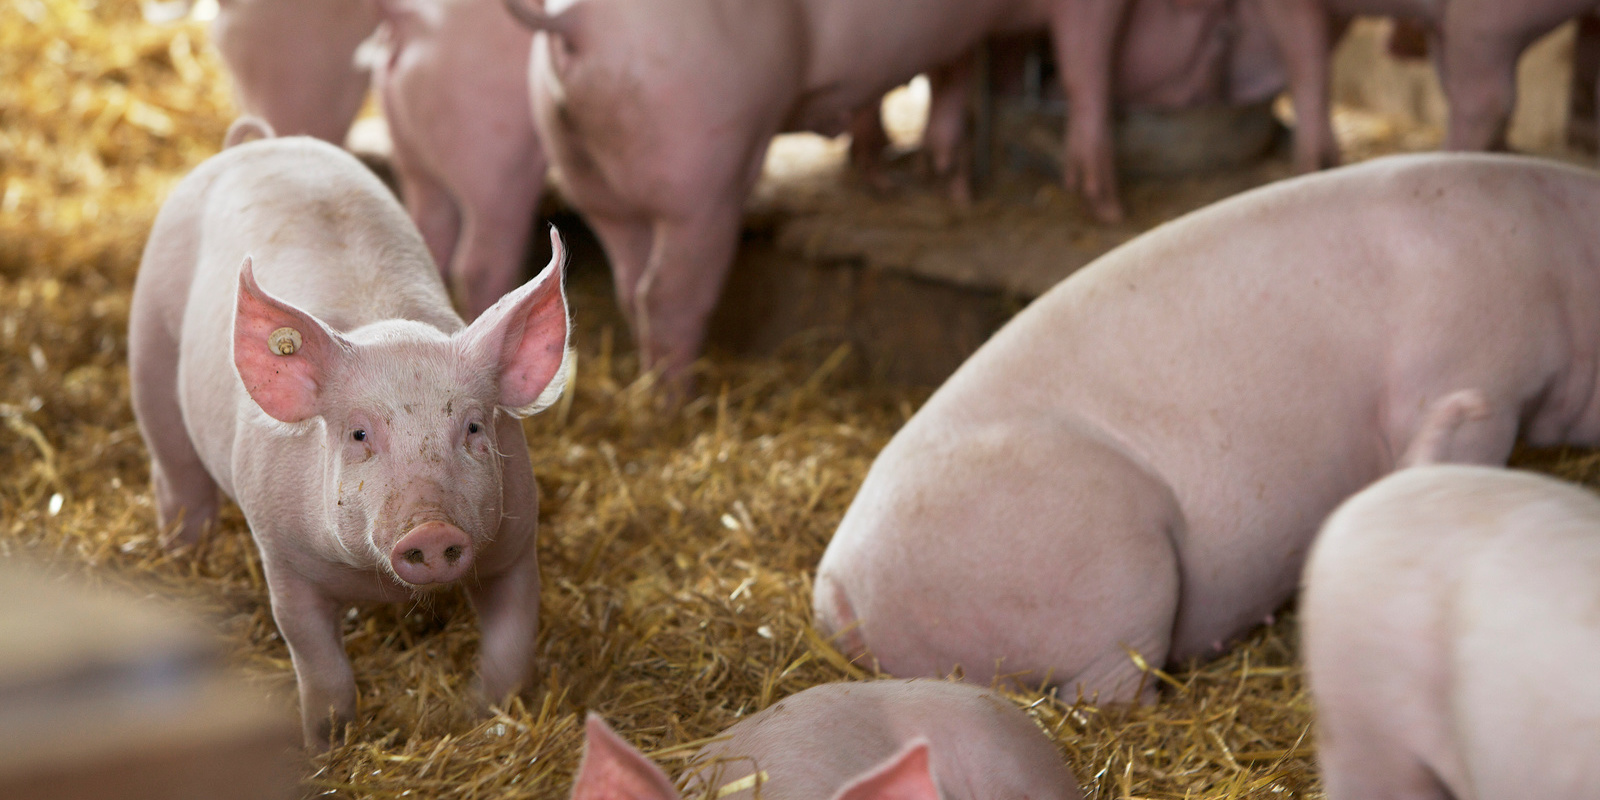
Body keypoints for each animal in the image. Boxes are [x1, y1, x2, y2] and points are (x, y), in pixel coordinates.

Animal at [127, 118, 570, 747]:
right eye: (359, 435)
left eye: (472, 427)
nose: (430, 528)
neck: (379, 586)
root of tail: (255, 143)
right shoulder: (282, 556)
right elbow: (318, 661)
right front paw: (328, 744)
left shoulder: (515, 539)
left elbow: (512, 643)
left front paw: (482, 716)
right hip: (149, 345)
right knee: (177, 474)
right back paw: (183, 554)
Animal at [507, 0, 1131, 384]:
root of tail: (576, 20)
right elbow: (1086, 69)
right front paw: (1108, 212)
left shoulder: (965, 34)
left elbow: (955, 79)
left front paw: (947, 191)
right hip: (701, 178)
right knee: (667, 297)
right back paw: (679, 406)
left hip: (587, 174)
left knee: (630, 283)